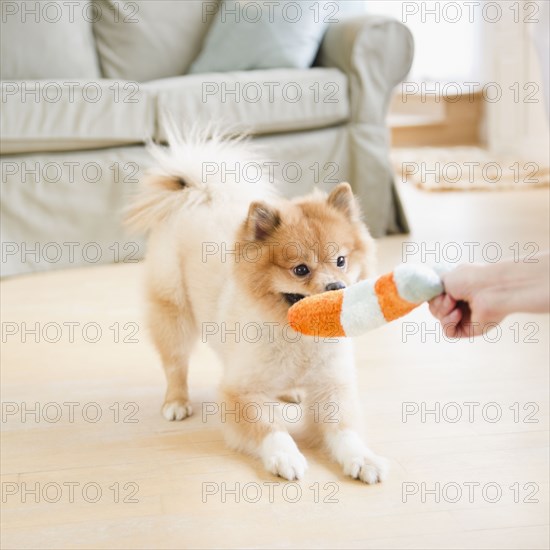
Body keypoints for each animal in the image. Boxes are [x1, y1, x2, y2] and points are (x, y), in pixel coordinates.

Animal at [128, 128, 390, 484]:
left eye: (341, 261)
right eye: (300, 270)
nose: (337, 287)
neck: (298, 338)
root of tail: (199, 193)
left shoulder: (332, 387)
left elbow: (345, 432)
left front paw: (362, 458)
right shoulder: (240, 394)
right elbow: (271, 429)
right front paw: (285, 456)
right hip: (173, 311)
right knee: (175, 364)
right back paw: (177, 402)